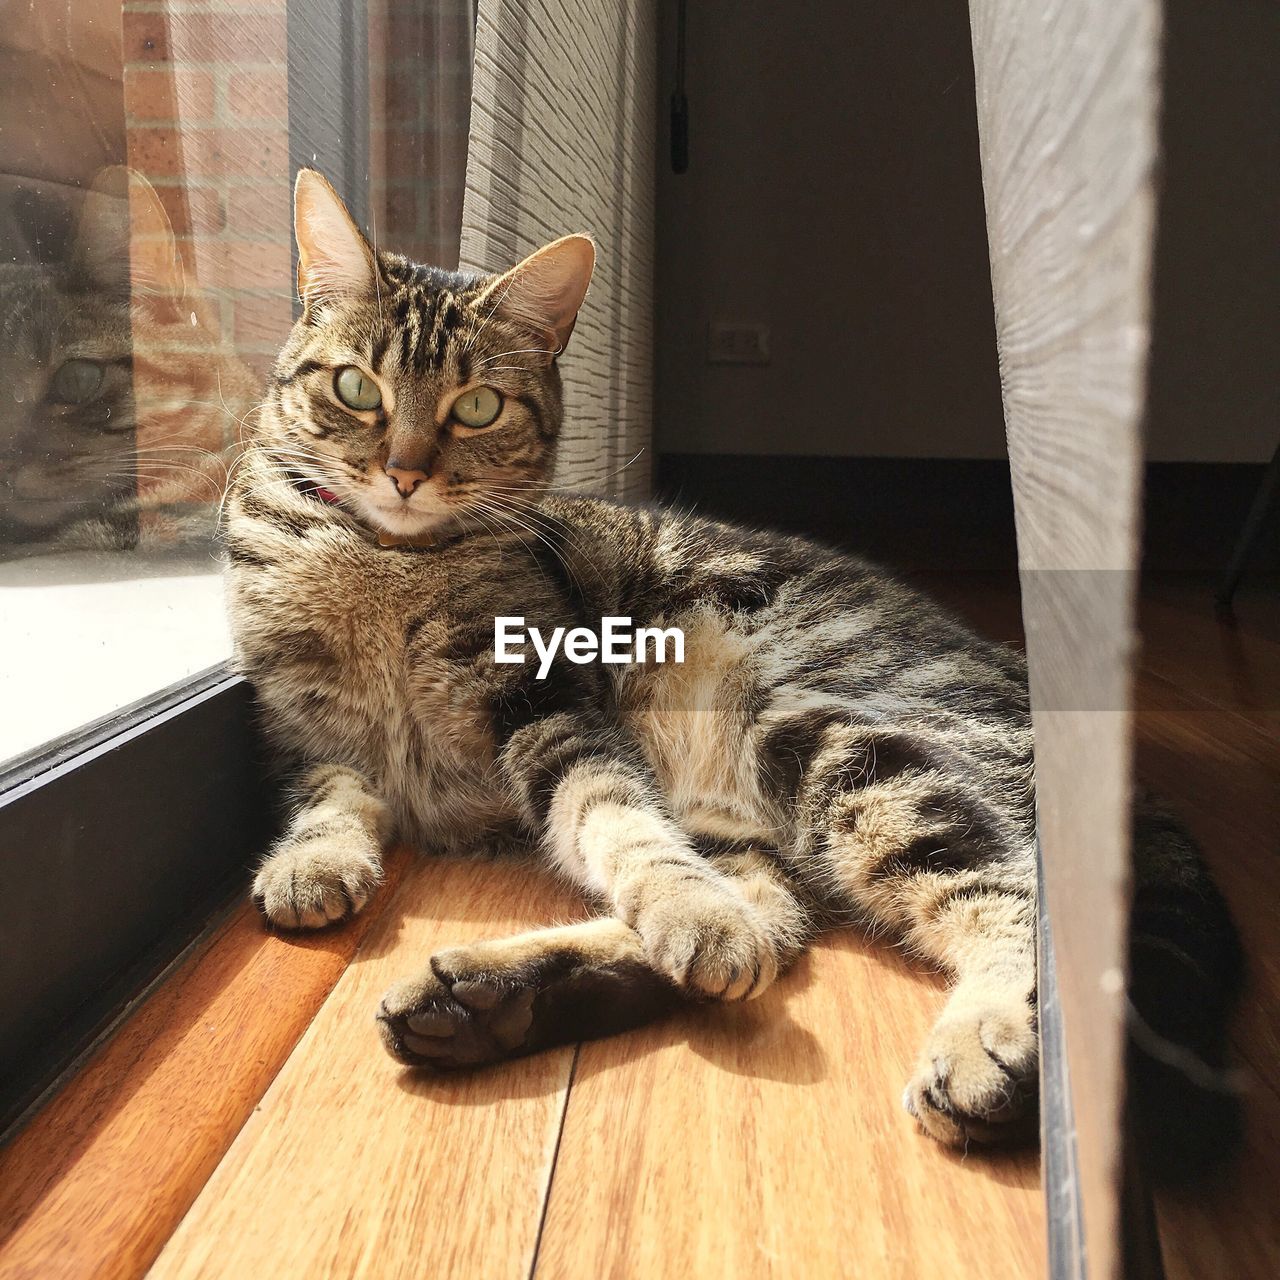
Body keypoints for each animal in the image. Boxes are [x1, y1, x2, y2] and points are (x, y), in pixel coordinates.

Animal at [230, 165, 1239, 1157]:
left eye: (477, 406)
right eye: (358, 388)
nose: (404, 472)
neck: (381, 564)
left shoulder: (548, 705)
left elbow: (617, 824)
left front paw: (687, 910)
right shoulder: (302, 725)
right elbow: (332, 797)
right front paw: (312, 861)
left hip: (833, 744)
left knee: (1005, 899)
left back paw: (984, 1040)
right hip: (750, 815)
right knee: (768, 924)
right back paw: (488, 1001)